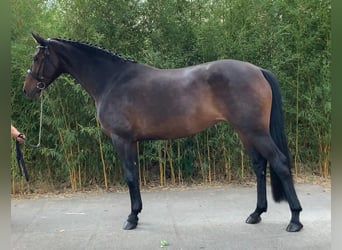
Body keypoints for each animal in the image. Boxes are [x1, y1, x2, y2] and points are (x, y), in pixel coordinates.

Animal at [22, 33, 304, 232]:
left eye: (36, 58)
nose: (27, 90)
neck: (112, 80)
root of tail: (258, 70)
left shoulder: (122, 140)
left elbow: (130, 176)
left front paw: (131, 218)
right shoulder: (132, 142)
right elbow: (134, 175)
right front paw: (136, 214)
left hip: (255, 131)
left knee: (279, 162)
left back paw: (295, 220)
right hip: (245, 132)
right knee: (259, 166)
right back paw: (256, 214)